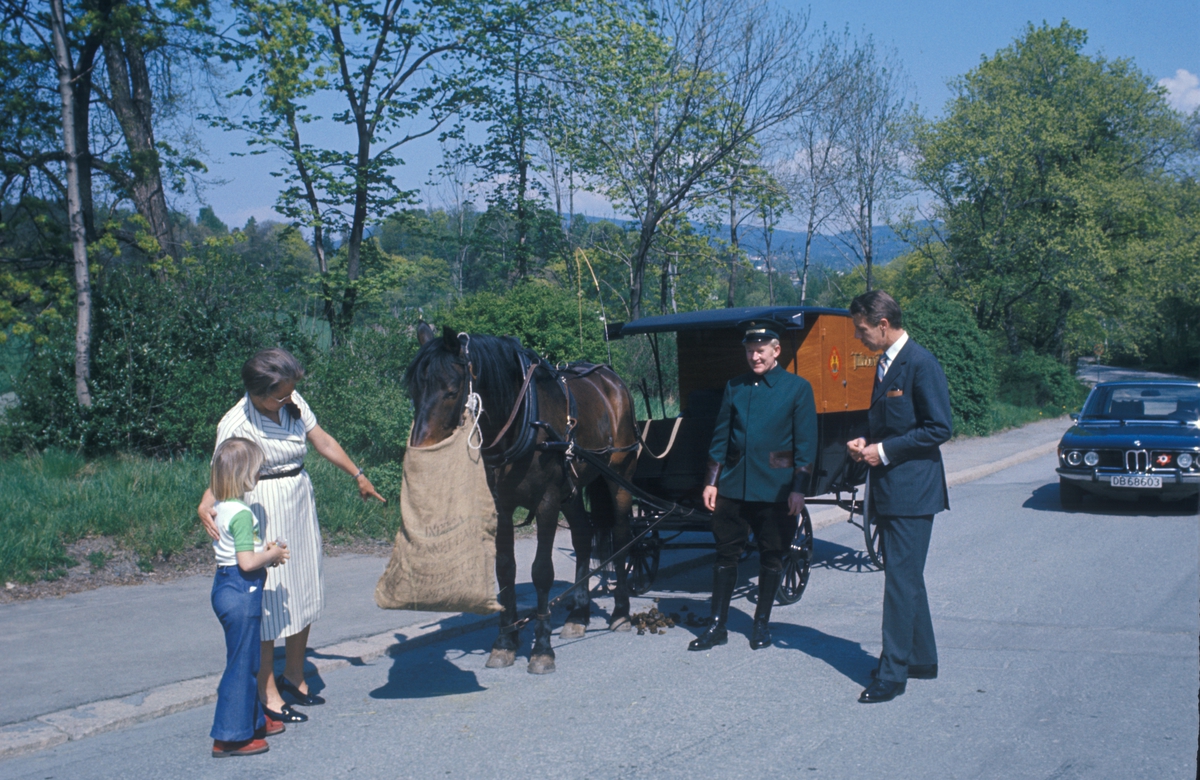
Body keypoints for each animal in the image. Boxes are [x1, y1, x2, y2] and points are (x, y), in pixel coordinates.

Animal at [408, 319, 643, 672]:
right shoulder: (501, 506)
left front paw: (542, 647)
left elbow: (541, 571)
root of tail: (611, 380)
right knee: (583, 537)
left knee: (620, 535)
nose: (421, 454)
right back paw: (578, 614)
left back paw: (620, 612)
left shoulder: (546, 503)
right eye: (413, 390)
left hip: (620, 478)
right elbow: (505, 568)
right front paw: (505, 641)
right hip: (572, 489)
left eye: (450, 391)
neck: (523, 420)